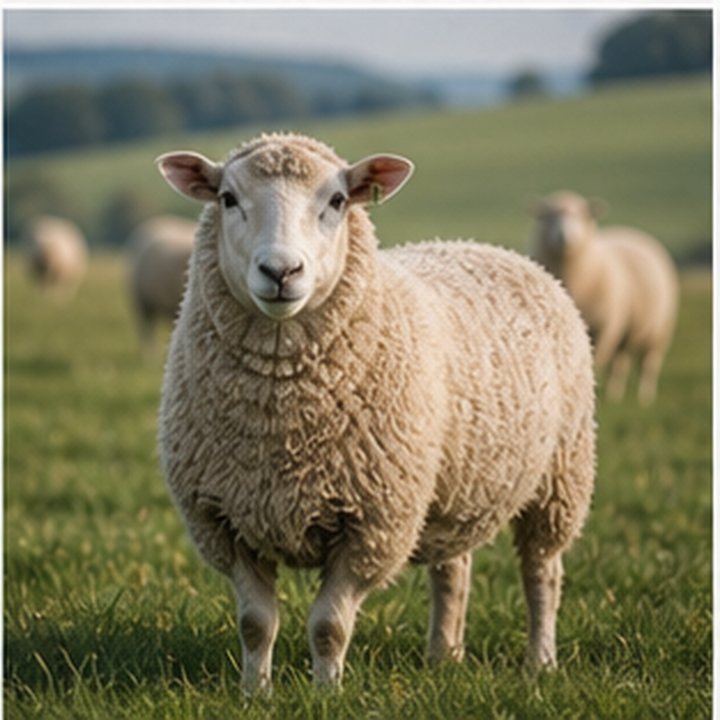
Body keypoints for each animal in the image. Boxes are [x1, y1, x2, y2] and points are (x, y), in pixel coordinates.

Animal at [156, 132, 596, 693]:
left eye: (338, 200)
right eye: (228, 199)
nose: (281, 271)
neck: (283, 429)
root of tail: (488, 248)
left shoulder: (372, 525)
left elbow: (329, 625)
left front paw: (326, 694)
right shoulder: (225, 520)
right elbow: (255, 624)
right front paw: (255, 693)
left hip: (560, 477)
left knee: (543, 573)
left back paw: (540, 661)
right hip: (451, 489)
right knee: (453, 572)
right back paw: (443, 655)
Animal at [529, 191, 678, 404]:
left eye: (583, 215)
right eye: (547, 217)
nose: (564, 237)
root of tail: (631, 231)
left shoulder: (603, 328)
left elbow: (594, 363)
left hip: (659, 330)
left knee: (648, 364)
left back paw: (644, 396)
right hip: (626, 334)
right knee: (620, 363)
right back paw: (615, 393)